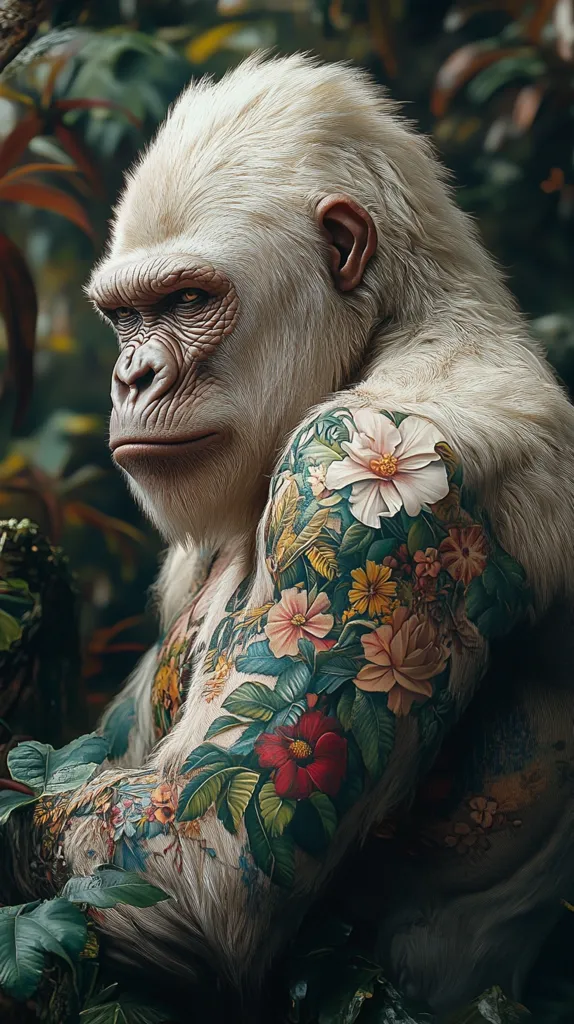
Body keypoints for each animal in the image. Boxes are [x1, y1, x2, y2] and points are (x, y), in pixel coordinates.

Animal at [3, 52, 574, 1017]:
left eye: (187, 299)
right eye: (125, 316)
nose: (132, 374)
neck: (383, 336)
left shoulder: (368, 483)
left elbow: (193, 870)